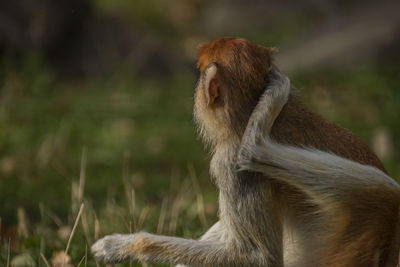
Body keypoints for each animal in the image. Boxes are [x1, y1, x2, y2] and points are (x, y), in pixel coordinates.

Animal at [90, 38, 396, 267]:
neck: (245, 114)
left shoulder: (230, 165)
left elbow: (257, 258)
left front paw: (118, 246)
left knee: (387, 193)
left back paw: (256, 142)